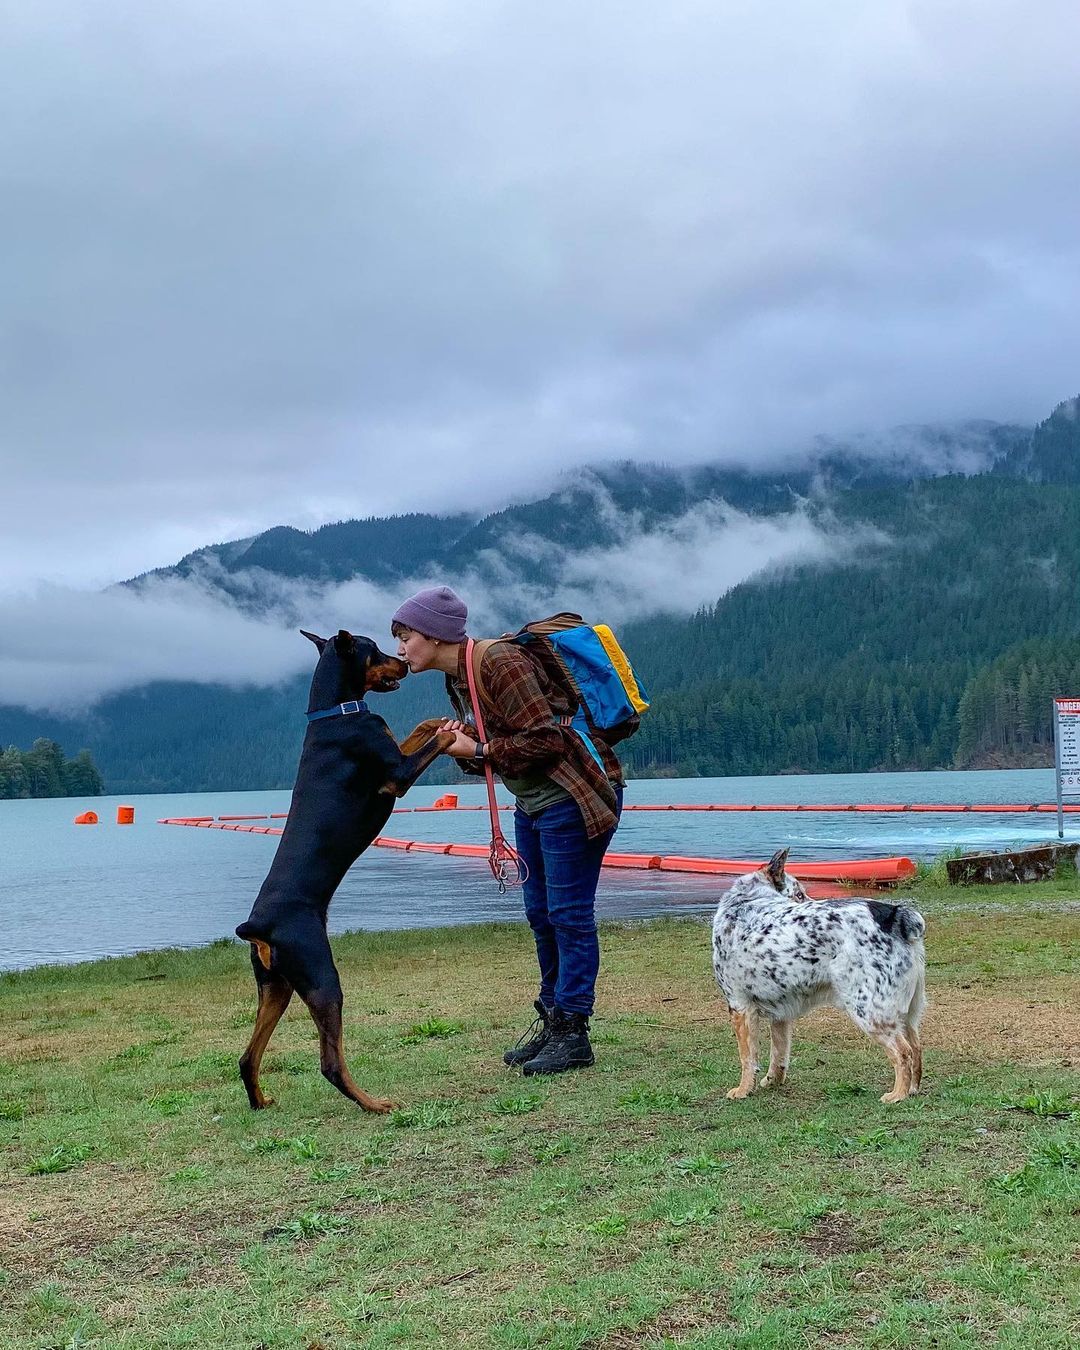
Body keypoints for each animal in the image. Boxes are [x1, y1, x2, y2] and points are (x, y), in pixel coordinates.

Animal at [707, 847, 928, 1101]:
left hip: (869, 1011)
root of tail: (897, 915)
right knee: (917, 1047)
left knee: (903, 1052)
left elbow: (747, 1057)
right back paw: (911, 1089)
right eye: (799, 894)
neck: (748, 902)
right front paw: (773, 1082)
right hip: (908, 1012)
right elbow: (779, 1054)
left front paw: (743, 1089)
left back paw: (897, 1095)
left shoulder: (739, 1006)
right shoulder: (780, 1014)